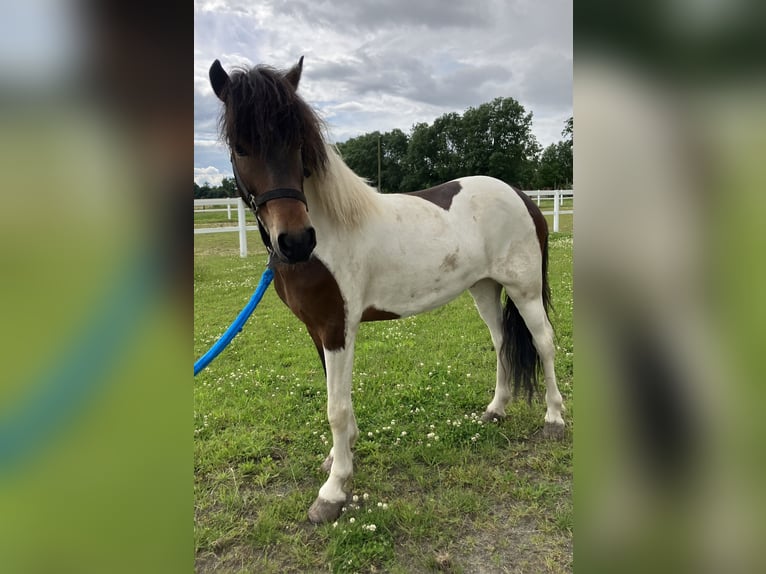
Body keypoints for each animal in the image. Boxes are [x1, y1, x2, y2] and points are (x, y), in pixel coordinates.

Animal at [208, 57, 565, 524]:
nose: (296, 241)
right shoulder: (318, 331)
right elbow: (337, 397)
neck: (330, 231)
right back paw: (496, 410)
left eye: (298, 144)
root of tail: (522, 195)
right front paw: (340, 456)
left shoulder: (337, 328)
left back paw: (554, 419)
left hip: (523, 289)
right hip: (484, 289)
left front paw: (333, 491)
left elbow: (336, 408)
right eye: (240, 146)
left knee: (543, 342)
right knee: (503, 342)